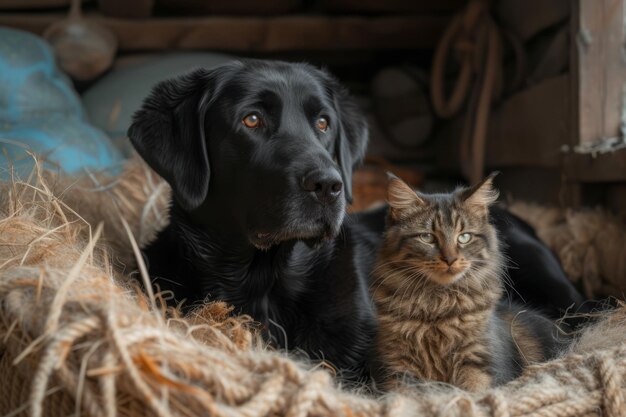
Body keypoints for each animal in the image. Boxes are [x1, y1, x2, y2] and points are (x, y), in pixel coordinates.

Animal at [368, 172, 564, 390]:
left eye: (464, 237)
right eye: (427, 237)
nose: (450, 259)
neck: (437, 304)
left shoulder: (478, 362)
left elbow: (474, 391)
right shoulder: (398, 367)